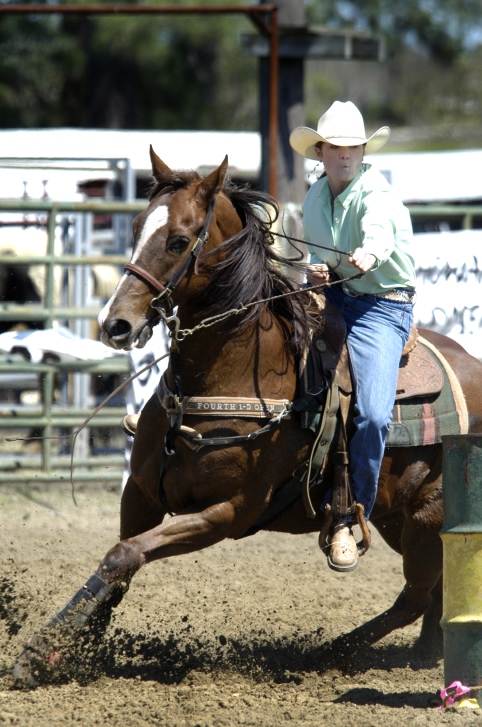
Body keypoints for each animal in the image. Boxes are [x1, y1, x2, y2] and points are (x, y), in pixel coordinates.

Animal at [12, 149, 482, 688]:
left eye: (179, 240)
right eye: (133, 227)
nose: (116, 324)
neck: (226, 374)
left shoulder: (228, 511)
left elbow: (122, 556)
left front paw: (42, 652)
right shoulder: (142, 493)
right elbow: (119, 566)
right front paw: (57, 652)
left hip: (429, 514)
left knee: (416, 595)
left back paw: (324, 655)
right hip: (395, 516)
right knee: (435, 589)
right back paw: (425, 651)